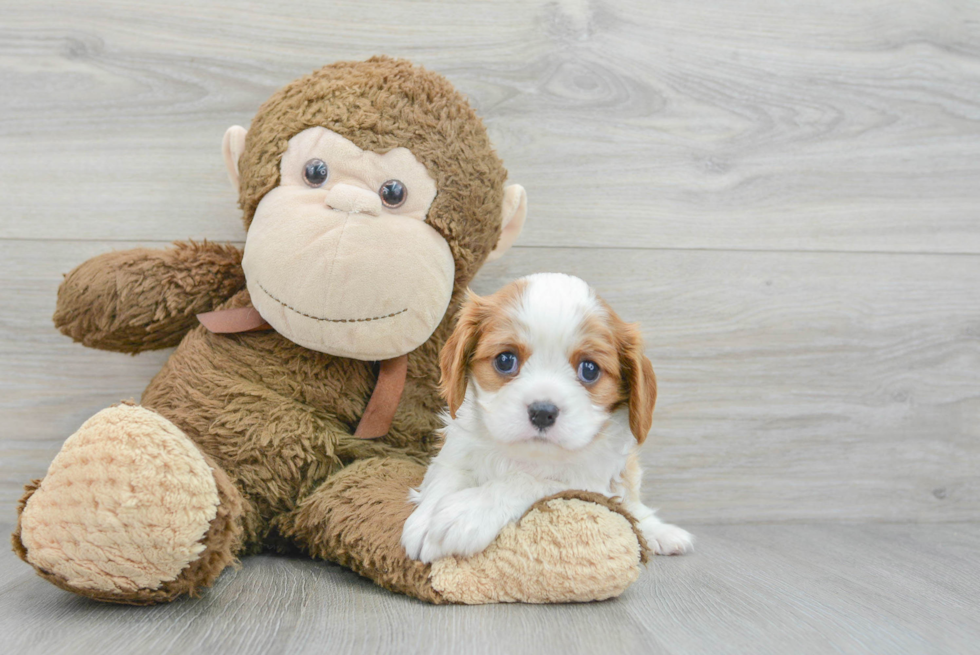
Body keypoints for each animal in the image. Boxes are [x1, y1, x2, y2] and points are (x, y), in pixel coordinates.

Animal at [402, 272, 692, 564]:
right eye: (505, 360)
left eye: (589, 369)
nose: (543, 412)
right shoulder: (457, 451)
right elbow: (446, 476)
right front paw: (425, 520)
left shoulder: (589, 483)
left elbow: (529, 481)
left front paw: (467, 512)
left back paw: (659, 531)